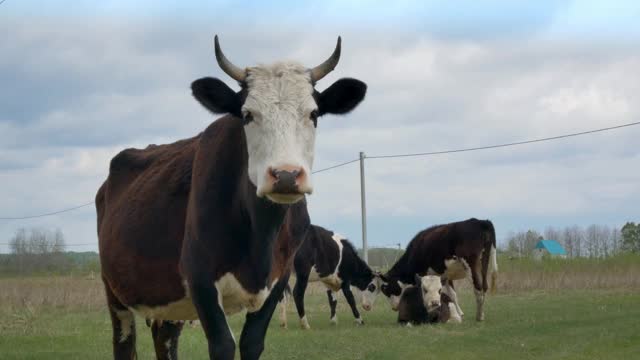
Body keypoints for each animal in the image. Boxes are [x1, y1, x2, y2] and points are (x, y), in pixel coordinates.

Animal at [94, 35, 364, 360]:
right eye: (247, 115)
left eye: (313, 114)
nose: (286, 175)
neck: (259, 233)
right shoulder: (200, 280)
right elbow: (223, 345)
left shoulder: (278, 281)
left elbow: (252, 344)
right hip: (115, 291)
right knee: (123, 341)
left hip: (169, 300)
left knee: (165, 339)